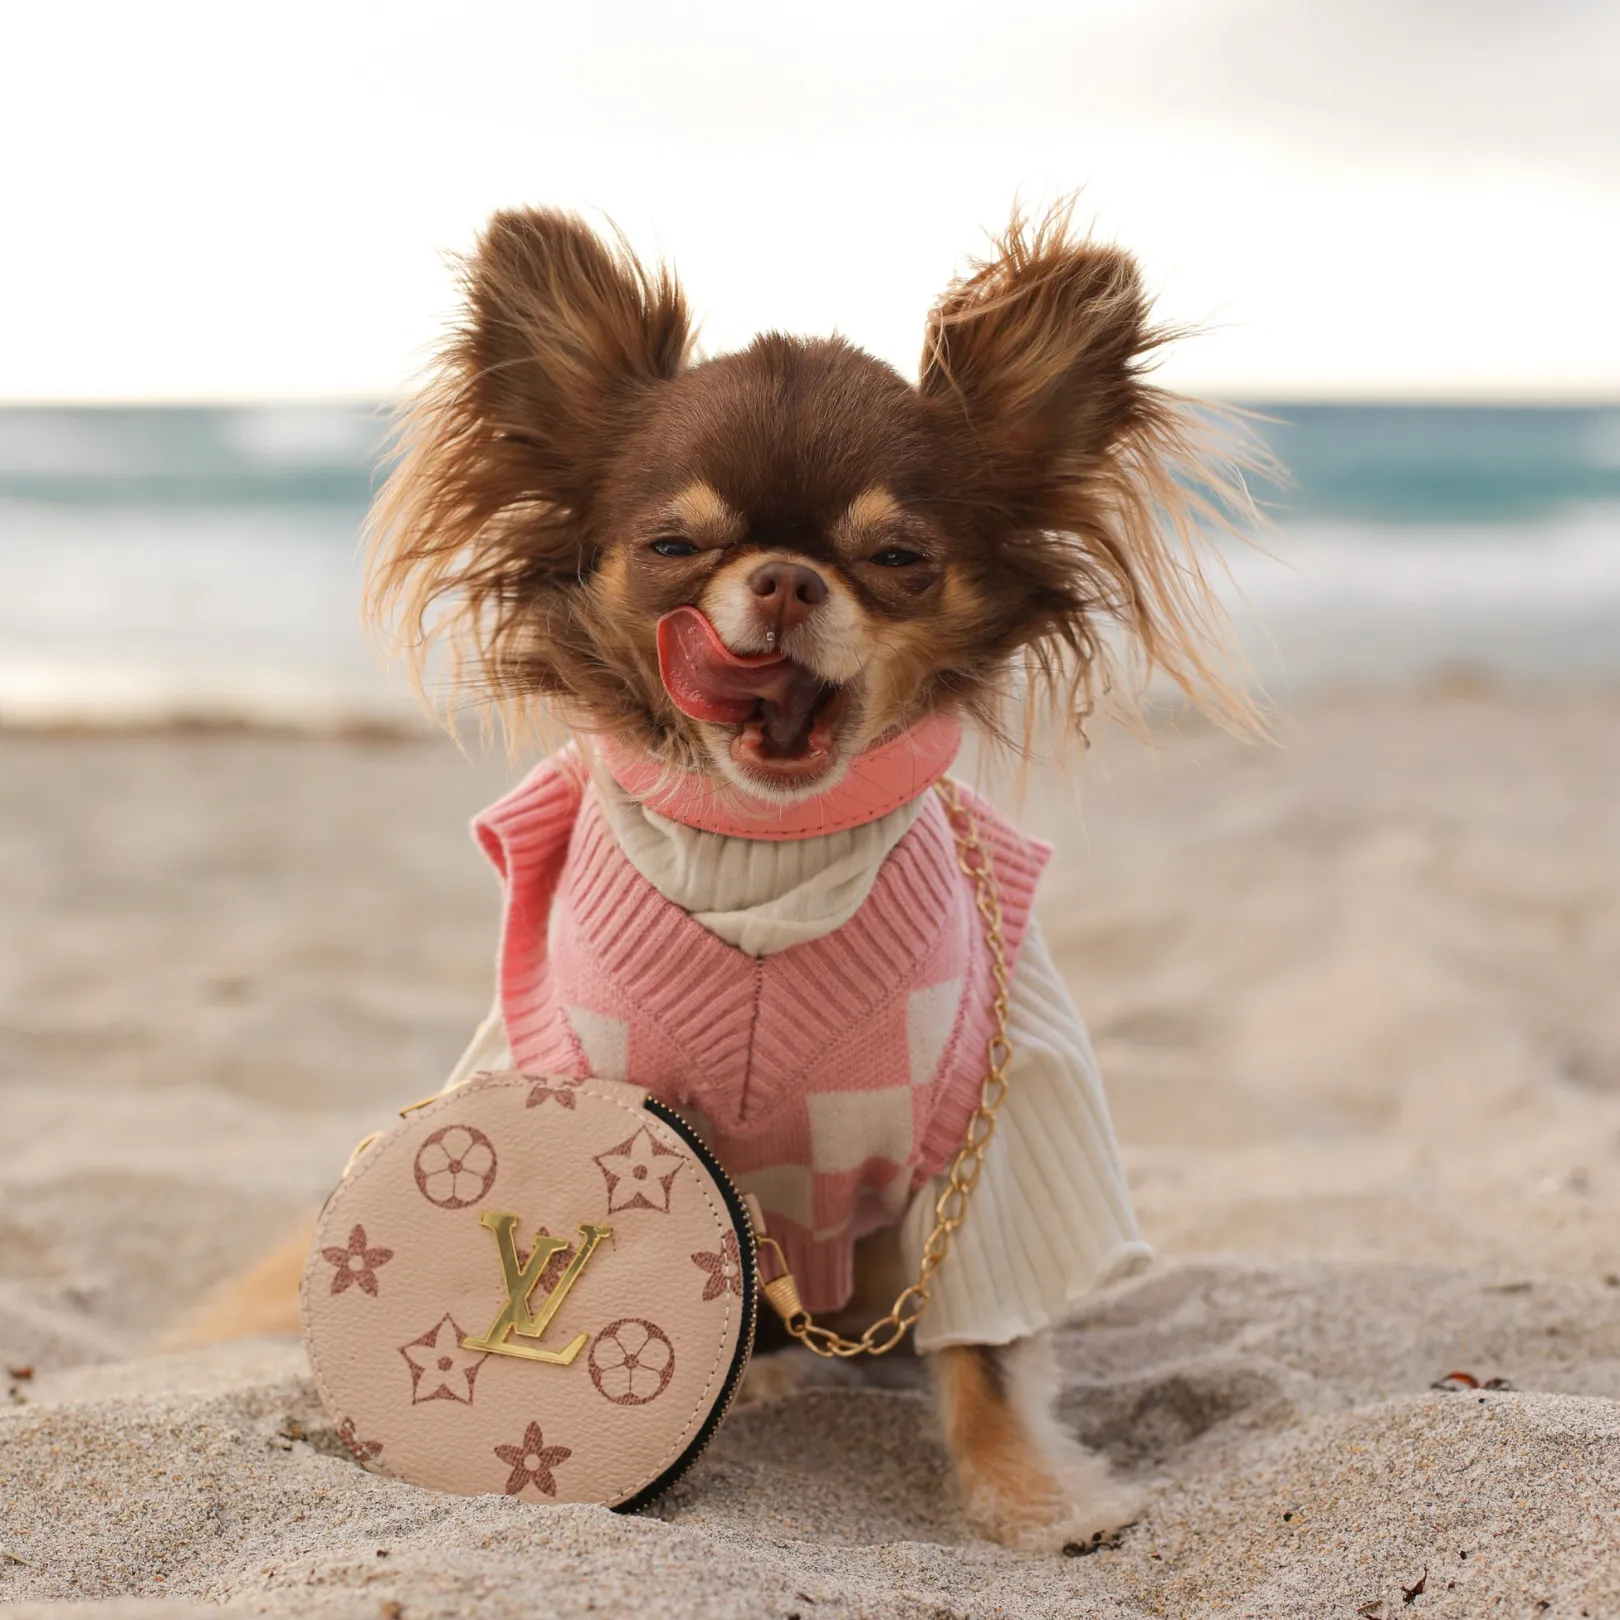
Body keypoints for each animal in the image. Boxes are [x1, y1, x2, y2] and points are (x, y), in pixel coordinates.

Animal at [183, 196, 1257, 1548]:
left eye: (897, 556)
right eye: (673, 543)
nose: (789, 576)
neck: (763, 856)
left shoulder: (998, 1149)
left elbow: (990, 1356)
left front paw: (1030, 1498)